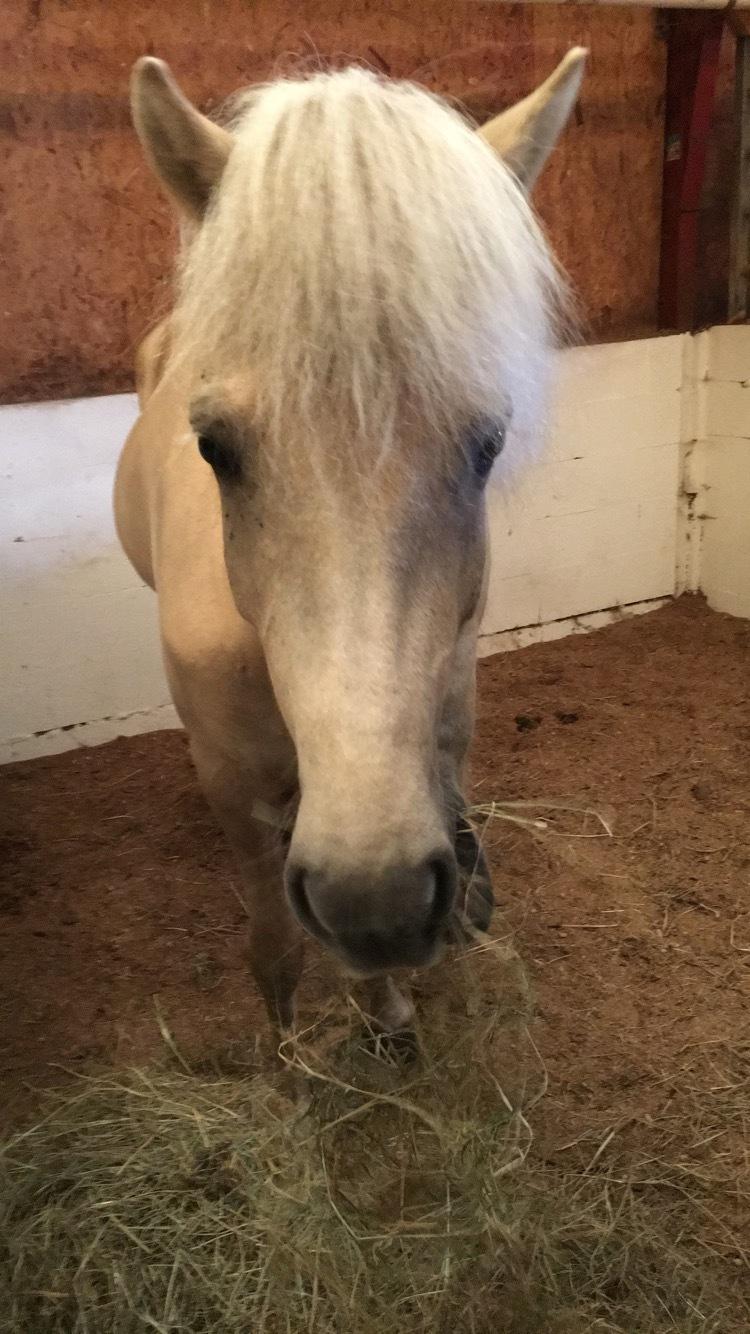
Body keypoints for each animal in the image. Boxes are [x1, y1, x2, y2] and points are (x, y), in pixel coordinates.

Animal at [115, 52, 584, 1035]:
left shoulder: (439, 723)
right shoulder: (236, 791)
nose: (379, 902)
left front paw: (388, 1007)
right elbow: (274, 942)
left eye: (487, 445)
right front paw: (286, 1044)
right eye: (213, 446)